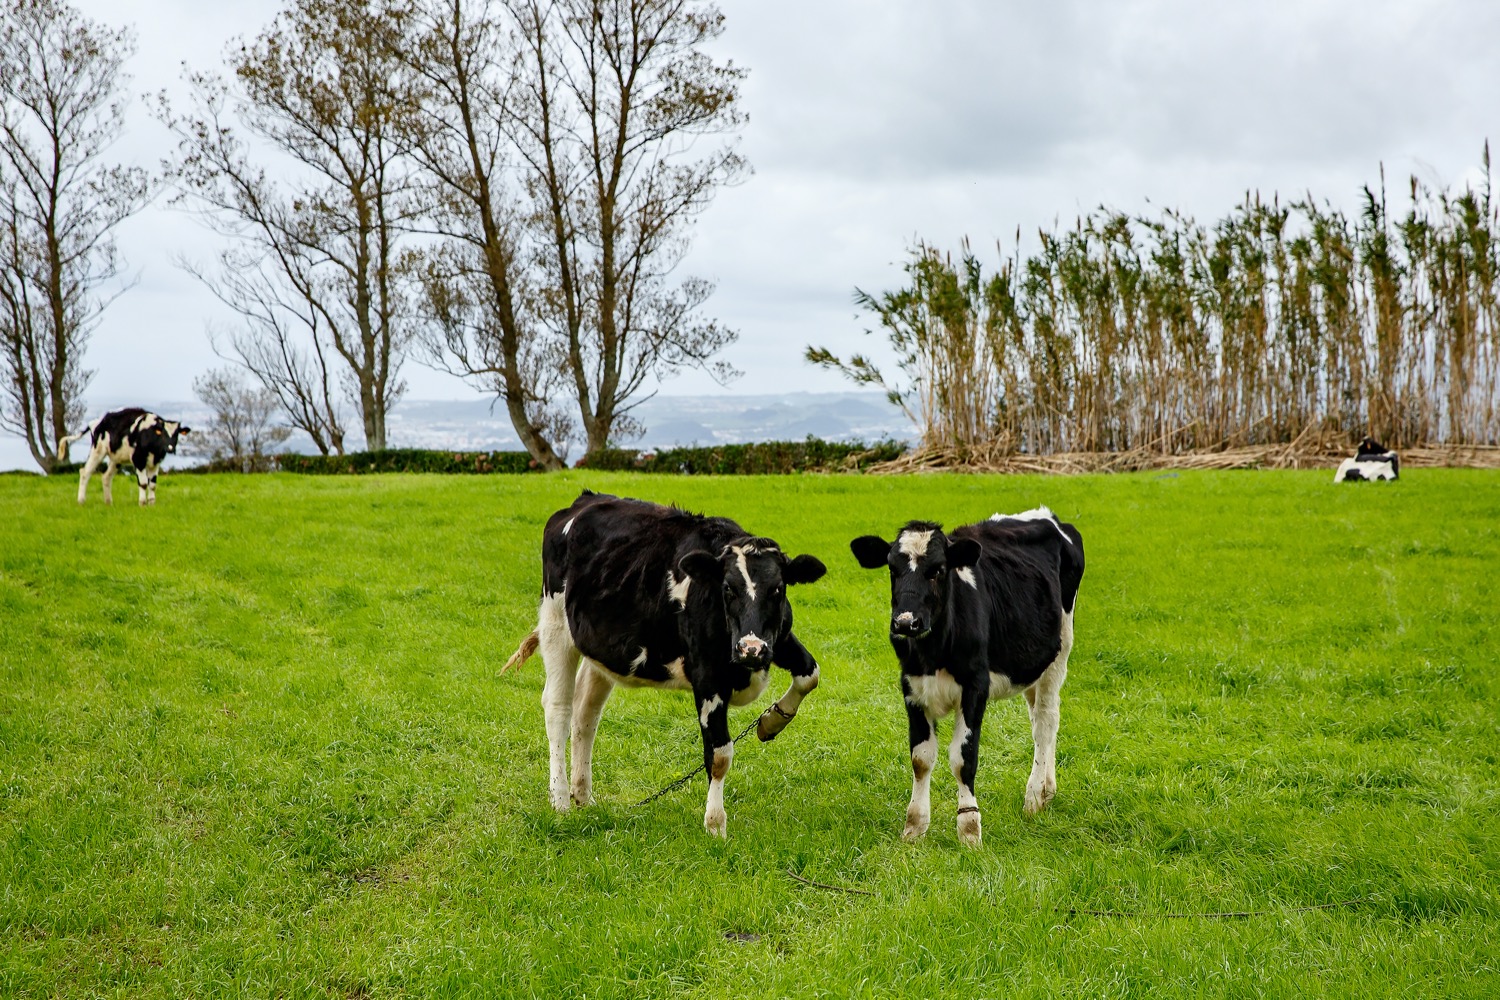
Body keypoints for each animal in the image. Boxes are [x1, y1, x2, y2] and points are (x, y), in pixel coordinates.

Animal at [57, 407, 190, 509]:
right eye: (162, 433)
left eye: (176, 434)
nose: (170, 448)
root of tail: (97, 421)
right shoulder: (138, 460)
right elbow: (143, 484)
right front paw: (142, 503)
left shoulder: (155, 463)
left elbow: (152, 485)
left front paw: (152, 504)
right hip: (97, 450)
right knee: (85, 472)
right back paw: (81, 501)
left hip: (116, 459)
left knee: (106, 477)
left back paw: (109, 502)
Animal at [507, 491, 834, 839]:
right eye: (728, 588)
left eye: (778, 588)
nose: (751, 648)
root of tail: (585, 500)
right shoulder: (708, 677)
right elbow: (719, 755)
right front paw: (715, 825)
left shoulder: (779, 641)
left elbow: (810, 674)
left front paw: (772, 721)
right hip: (555, 623)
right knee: (558, 709)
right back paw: (560, 800)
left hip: (600, 648)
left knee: (586, 713)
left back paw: (583, 795)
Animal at [852, 509, 1086, 845]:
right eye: (892, 569)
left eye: (937, 570)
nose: (905, 622)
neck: (933, 654)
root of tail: (1047, 516)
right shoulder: (911, 687)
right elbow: (921, 758)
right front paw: (915, 826)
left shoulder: (976, 687)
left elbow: (964, 758)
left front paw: (969, 827)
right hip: (1032, 663)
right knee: (1038, 720)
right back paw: (1047, 790)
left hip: (1061, 649)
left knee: (1046, 721)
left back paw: (1033, 797)